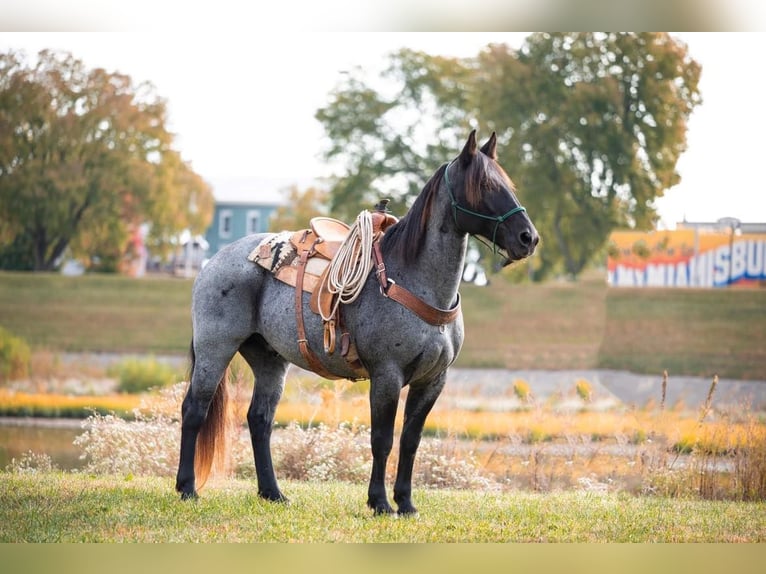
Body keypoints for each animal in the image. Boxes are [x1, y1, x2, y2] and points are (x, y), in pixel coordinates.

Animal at [177, 130, 544, 516]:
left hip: (269, 360)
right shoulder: (386, 376)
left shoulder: (432, 381)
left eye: (508, 184)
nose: (528, 237)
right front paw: (379, 501)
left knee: (259, 419)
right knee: (194, 409)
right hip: (215, 349)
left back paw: (272, 492)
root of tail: (215, 261)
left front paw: (406, 502)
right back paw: (187, 487)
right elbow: (382, 439)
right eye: (485, 184)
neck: (413, 281)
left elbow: (411, 440)